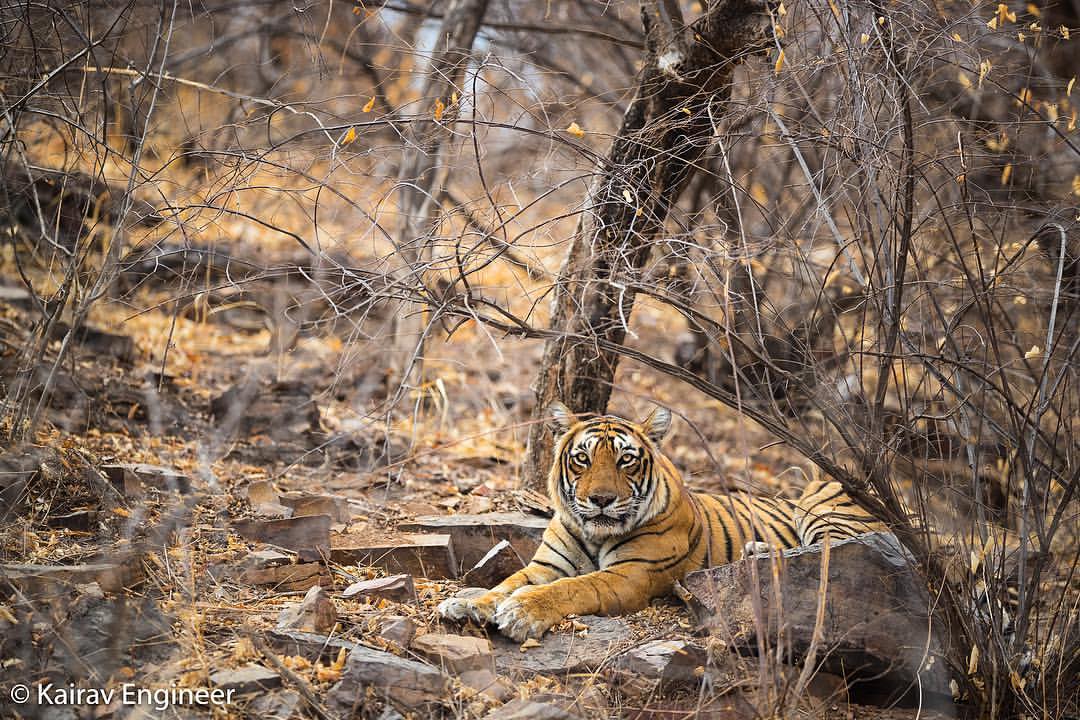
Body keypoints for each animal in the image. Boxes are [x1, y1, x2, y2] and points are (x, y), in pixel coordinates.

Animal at [438, 399, 885, 643]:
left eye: (625, 460)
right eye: (582, 458)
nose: (602, 499)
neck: (594, 534)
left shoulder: (629, 574)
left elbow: (572, 588)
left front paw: (521, 613)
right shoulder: (546, 565)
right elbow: (508, 581)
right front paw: (468, 602)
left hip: (821, 497)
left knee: (831, 554)